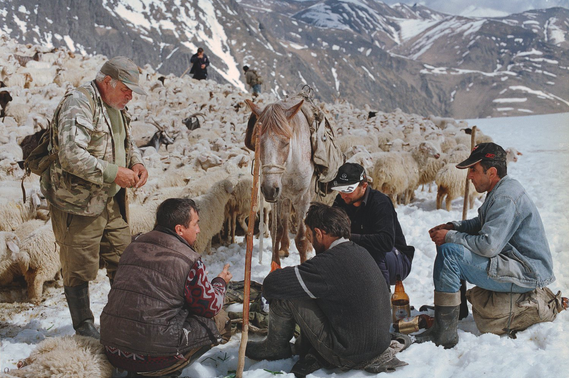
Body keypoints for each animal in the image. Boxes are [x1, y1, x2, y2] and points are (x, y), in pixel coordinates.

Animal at [245, 99, 312, 264]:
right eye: (258, 142)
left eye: (286, 142)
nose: (269, 189)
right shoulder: (279, 196)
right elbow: (278, 229)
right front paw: (276, 262)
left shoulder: (303, 198)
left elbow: (301, 237)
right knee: (286, 216)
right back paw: (284, 247)